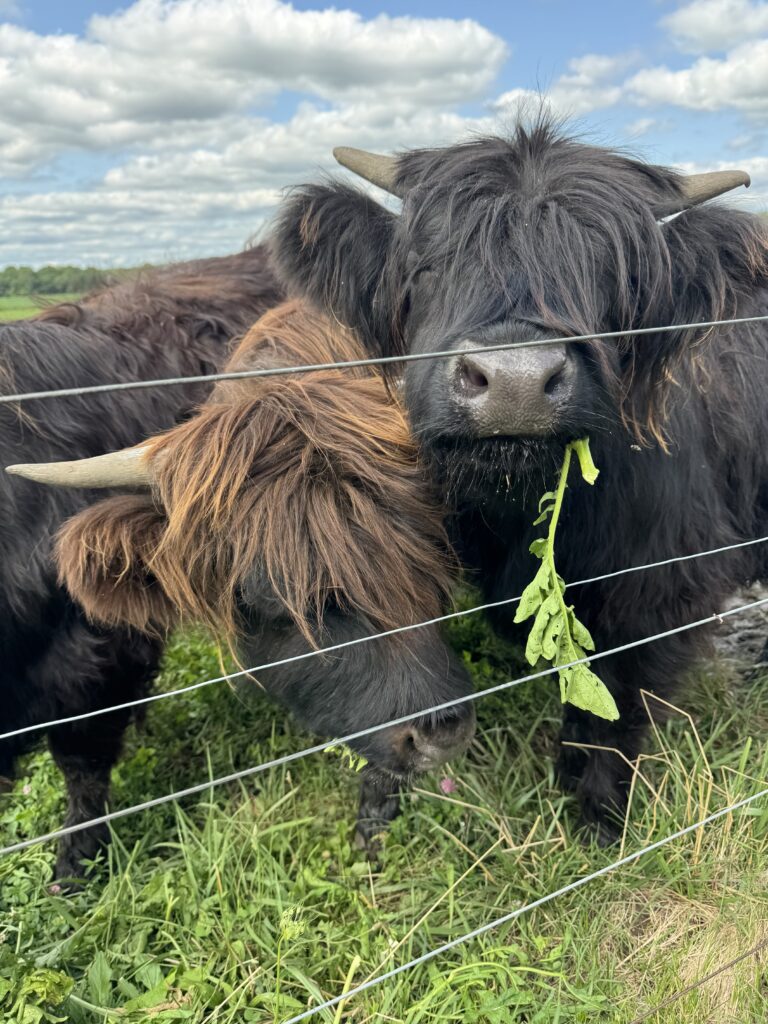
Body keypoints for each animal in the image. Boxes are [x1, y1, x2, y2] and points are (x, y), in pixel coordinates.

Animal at [270, 116, 768, 842]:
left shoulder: (660, 587)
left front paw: (598, 815)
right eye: (429, 264)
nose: (515, 383)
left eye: (613, 274)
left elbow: (615, 705)